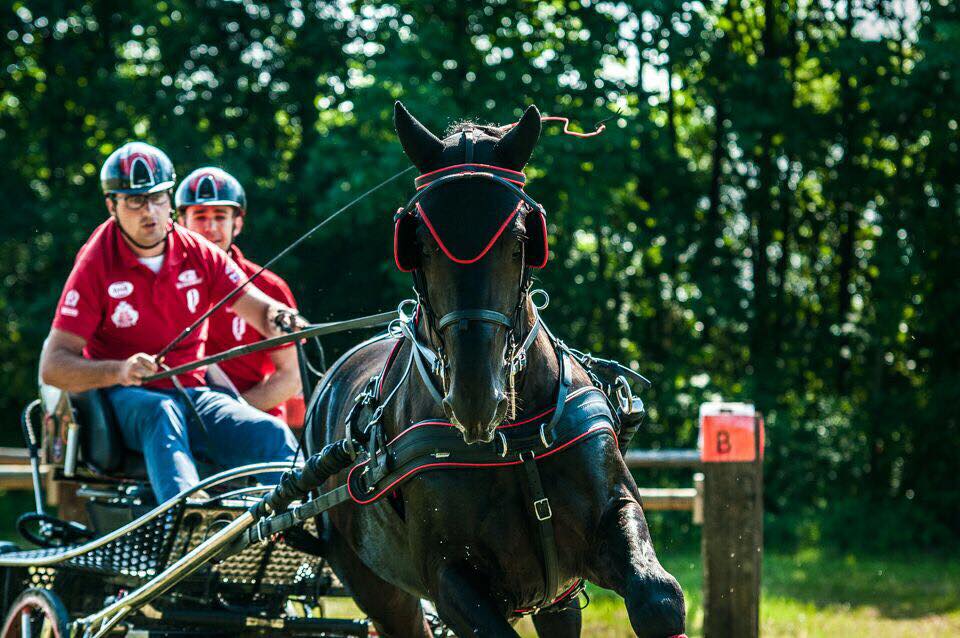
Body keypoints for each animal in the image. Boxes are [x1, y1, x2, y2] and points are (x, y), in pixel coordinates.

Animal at [304, 102, 688, 636]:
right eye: (419, 245)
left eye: (520, 240)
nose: (476, 398)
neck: (512, 441)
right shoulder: (449, 578)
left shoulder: (606, 525)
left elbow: (657, 598)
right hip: (376, 587)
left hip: (556, 599)